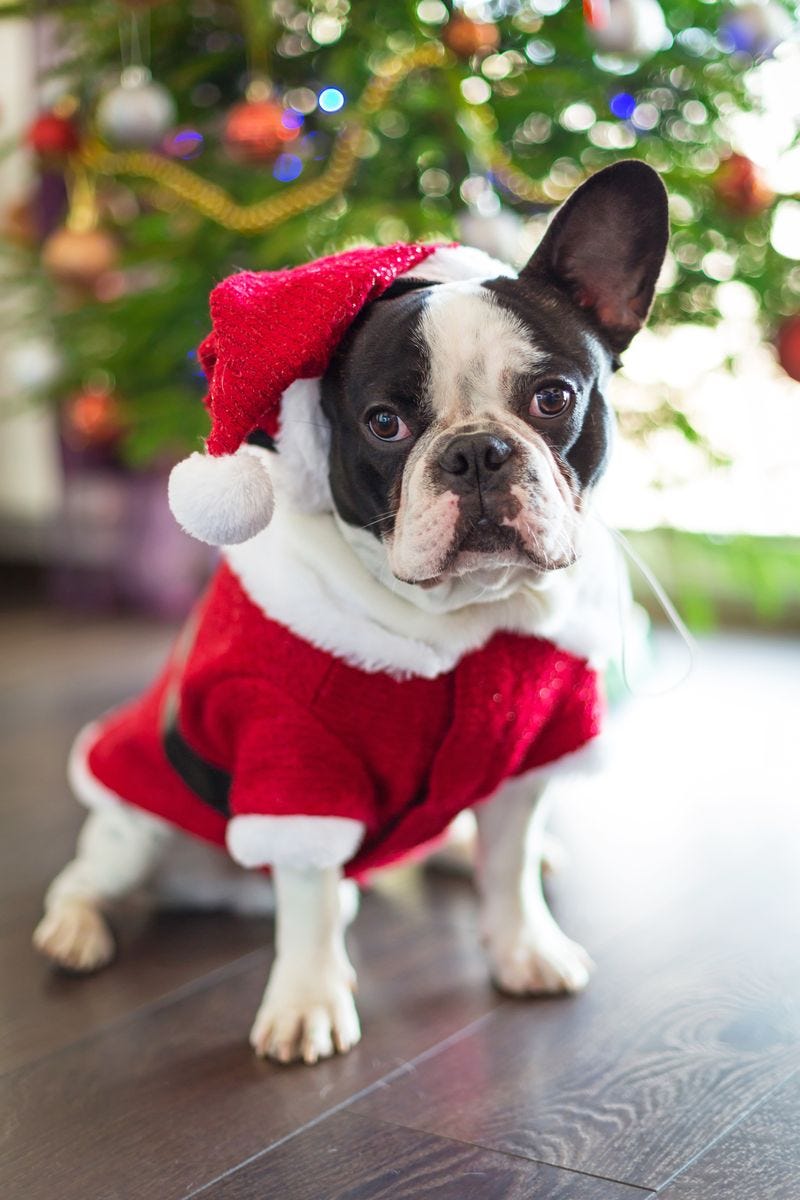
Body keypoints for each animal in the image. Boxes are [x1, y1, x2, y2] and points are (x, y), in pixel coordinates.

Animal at [32, 162, 671, 1070]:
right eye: (384, 423)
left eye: (553, 398)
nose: (477, 452)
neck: (461, 618)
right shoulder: (296, 756)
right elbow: (308, 895)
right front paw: (305, 1002)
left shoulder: (529, 751)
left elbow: (509, 868)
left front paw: (526, 950)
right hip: (134, 826)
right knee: (91, 876)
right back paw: (75, 931)